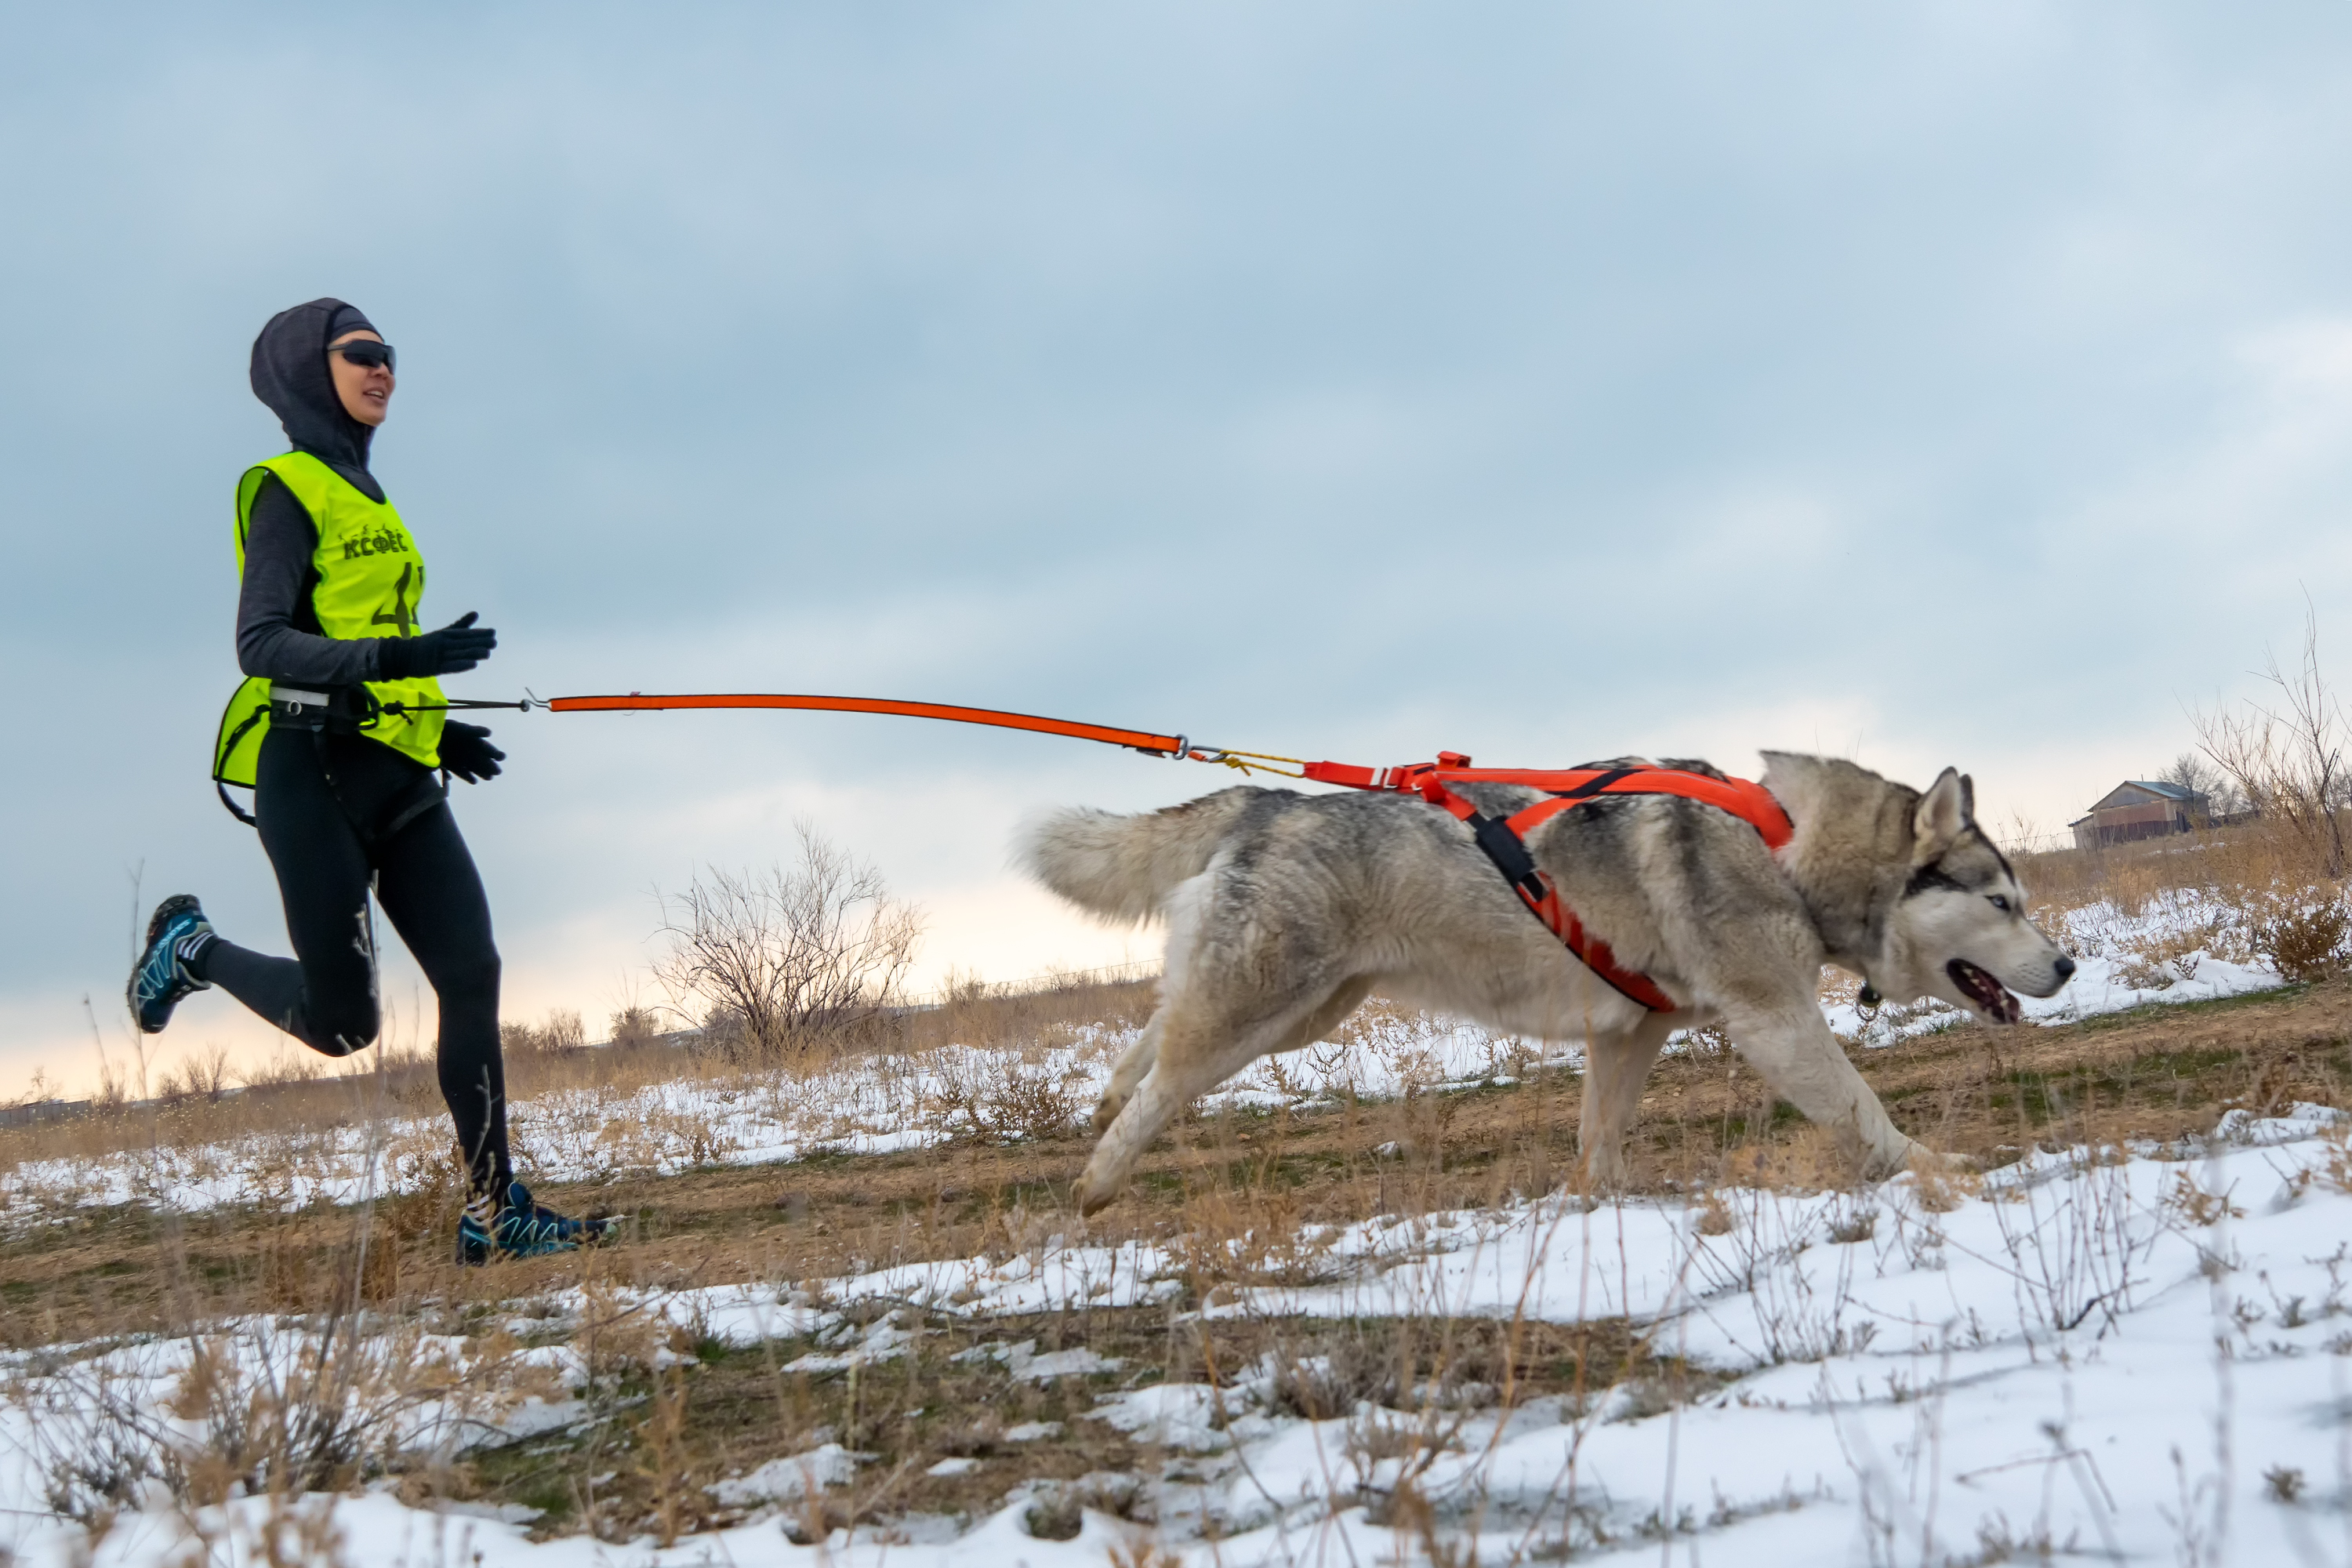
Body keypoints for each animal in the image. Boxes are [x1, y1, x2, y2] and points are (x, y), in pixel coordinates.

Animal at [1030, 757, 2079, 1213]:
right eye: (1999, 900)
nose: (2069, 964)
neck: (1784, 847)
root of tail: (1269, 796)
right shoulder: (1775, 1021)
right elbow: (1868, 1113)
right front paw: (1942, 1168)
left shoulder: (1630, 1033)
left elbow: (1600, 1138)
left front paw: (1598, 1201)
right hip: (1267, 1006)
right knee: (1170, 1079)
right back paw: (1095, 1182)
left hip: (1306, 1011)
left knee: (1156, 1031)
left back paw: (1109, 1092)